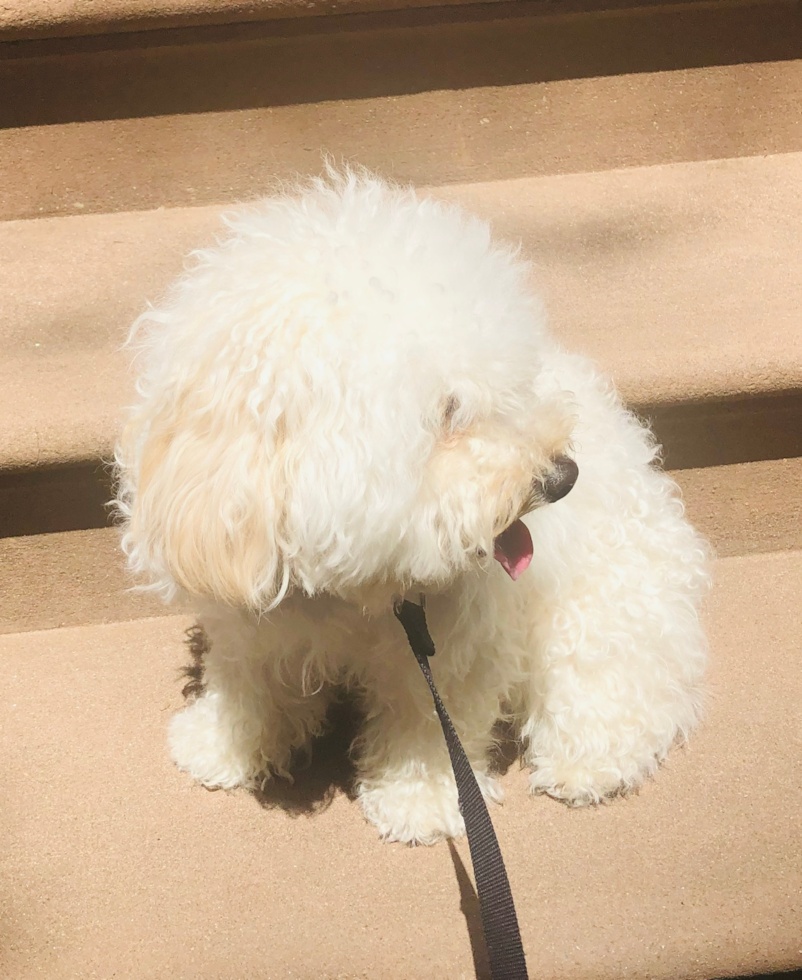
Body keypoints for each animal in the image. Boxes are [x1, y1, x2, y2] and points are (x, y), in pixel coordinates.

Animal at [114, 168, 708, 844]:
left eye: (515, 384)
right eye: (450, 411)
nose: (564, 477)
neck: (349, 592)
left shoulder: (454, 647)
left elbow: (428, 724)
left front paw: (420, 800)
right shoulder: (247, 615)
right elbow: (247, 682)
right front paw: (220, 746)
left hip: (605, 608)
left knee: (618, 684)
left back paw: (588, 762)